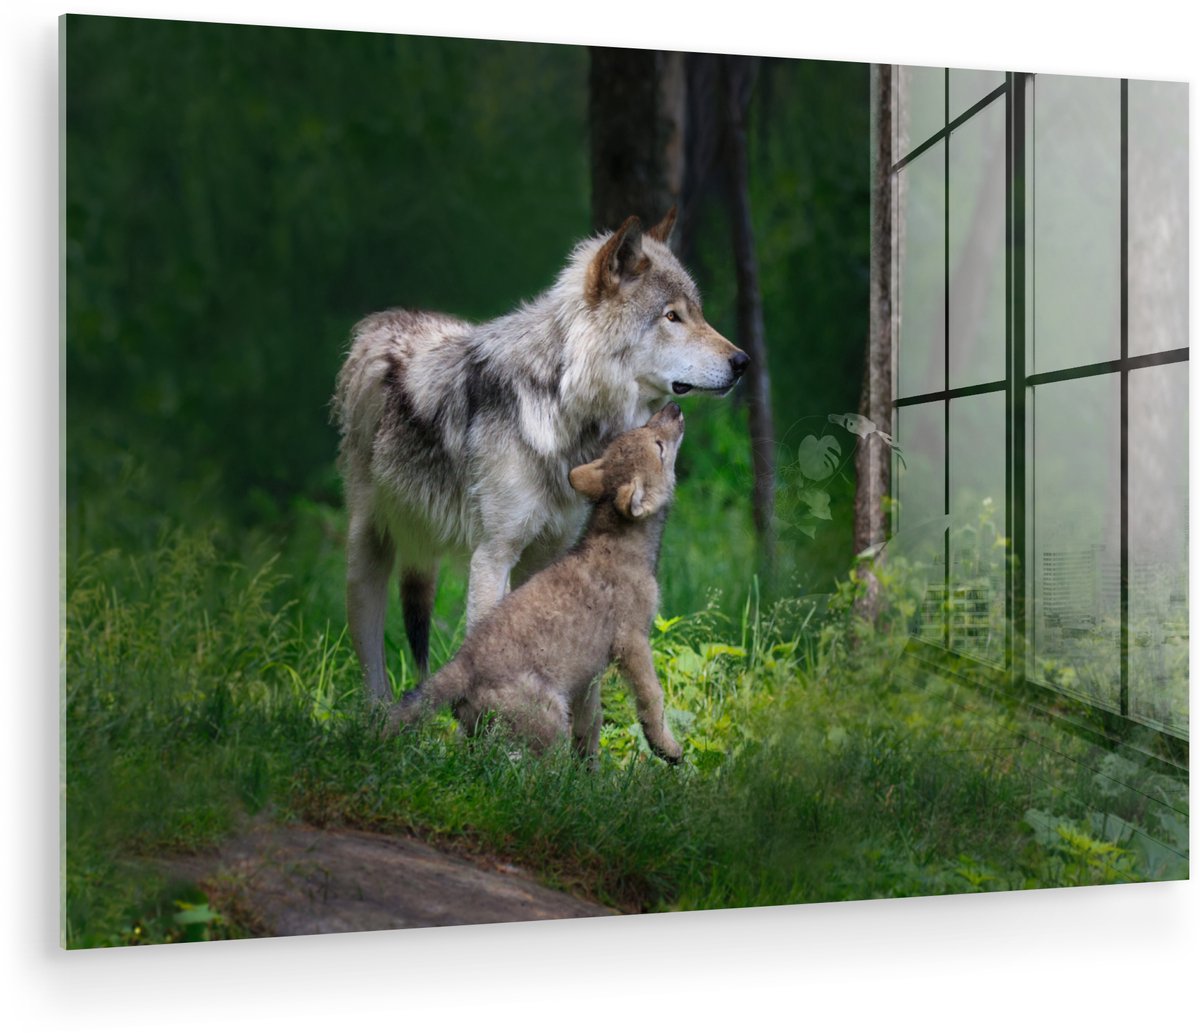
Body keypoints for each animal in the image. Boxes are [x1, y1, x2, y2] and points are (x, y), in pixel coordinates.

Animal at [333, 208, 748, 701]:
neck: (561, 404)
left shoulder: (548, 554)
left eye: (697, 313)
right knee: (372, 670)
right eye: (672, 316)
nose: (743, 362)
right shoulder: (493, 556)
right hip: (366, 559)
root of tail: (383, 321)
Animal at [388, 403, 687, 764]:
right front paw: (667, 748)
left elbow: (591, 723)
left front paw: (590, 771)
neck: (621, 542)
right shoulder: (632, 642)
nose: (674, 408)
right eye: (658, 446)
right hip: (549, 721)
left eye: (644, 428)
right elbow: (651, 699)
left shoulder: (588, 674)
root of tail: (462, 663)